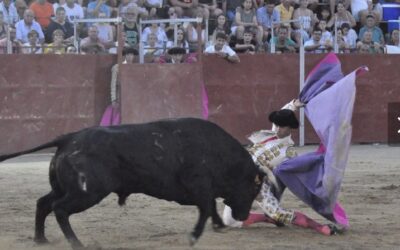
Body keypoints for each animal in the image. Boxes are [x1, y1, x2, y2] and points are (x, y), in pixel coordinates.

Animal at [0, 118, 264, 249]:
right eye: (253, 188)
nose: (242, 216)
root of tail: (68, 138)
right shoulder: (199, 185)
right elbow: (207, 207)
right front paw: (193, 237)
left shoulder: (203, 190)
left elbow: (210, 206)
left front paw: (218, 225)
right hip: (87, 192)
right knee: (60, 209)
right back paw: (77, 243)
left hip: (64, 188)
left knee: (43, 203)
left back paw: (40, 239)